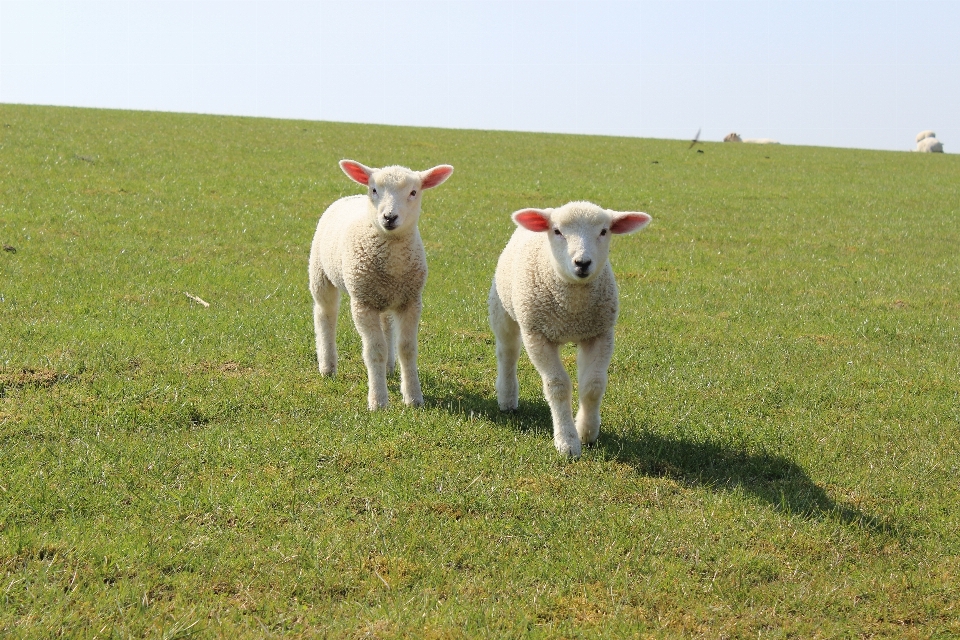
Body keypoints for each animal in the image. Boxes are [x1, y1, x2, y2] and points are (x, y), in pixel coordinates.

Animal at [310, 160, 456, 410]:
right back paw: (327, 366)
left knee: (386, 325)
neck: (393, 257)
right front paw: (378, 401)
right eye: (374, 190)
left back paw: (388, 369)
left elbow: (407, 349)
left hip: (385, 296)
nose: (389, 217)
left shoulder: (411, 301)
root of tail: (350, 196)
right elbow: (374, 351)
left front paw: (413, 398)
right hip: (321, 274)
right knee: (324, 315)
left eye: (413, 192)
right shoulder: (363, 303)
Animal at [488, 200, 652, 456]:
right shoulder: (537, 335)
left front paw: (587, 432)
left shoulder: (599, 333)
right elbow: (558, 386)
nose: (582, 263)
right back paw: (507, 398)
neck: (572, 308)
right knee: (508, 354)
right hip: (503, 309)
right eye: (557, 231)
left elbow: (593, 385)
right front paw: (567, 442)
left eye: (604, 231)